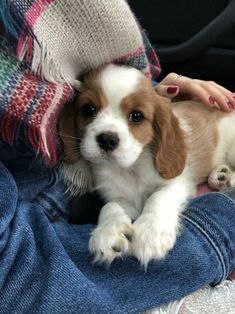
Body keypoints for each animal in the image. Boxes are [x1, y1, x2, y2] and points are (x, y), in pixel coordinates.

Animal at [59, 63, 235, 268]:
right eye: (89, 109)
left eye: (136, 116)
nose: (107, 139)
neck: (132, 168)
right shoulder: (118, 197)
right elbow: (110, 206)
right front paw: (108, 232)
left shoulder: (178, 184)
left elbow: (157, 197)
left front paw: (151, 232)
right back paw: (220, 176)